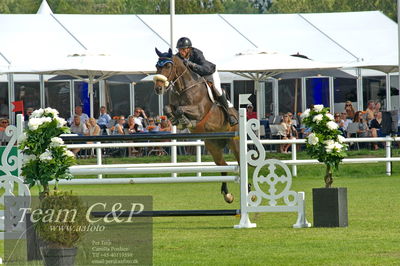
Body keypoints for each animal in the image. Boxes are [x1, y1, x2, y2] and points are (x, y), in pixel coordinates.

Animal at [153, 47, 239, 204]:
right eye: (157, 66)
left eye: (167, 66)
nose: (158, 89)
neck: (183, 88)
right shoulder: (172, 105)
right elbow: (168, 109)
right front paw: (177, 121)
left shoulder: (198, 111)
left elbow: (181, 110)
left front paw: (186, 121)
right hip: (213, 146)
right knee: (223, 166)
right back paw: (227, 195)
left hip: (234, 143)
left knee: (241, 163)